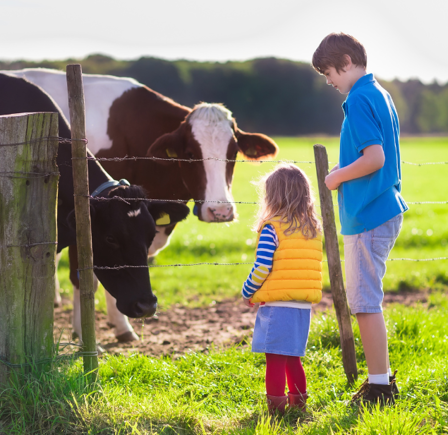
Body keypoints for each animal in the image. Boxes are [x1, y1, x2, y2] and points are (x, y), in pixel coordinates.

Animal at [7, 67, 278, 340]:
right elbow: (85, 277)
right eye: (190, 154)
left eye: (233, 153)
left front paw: (122, 326)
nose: (220, 211)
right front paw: (85, 334)